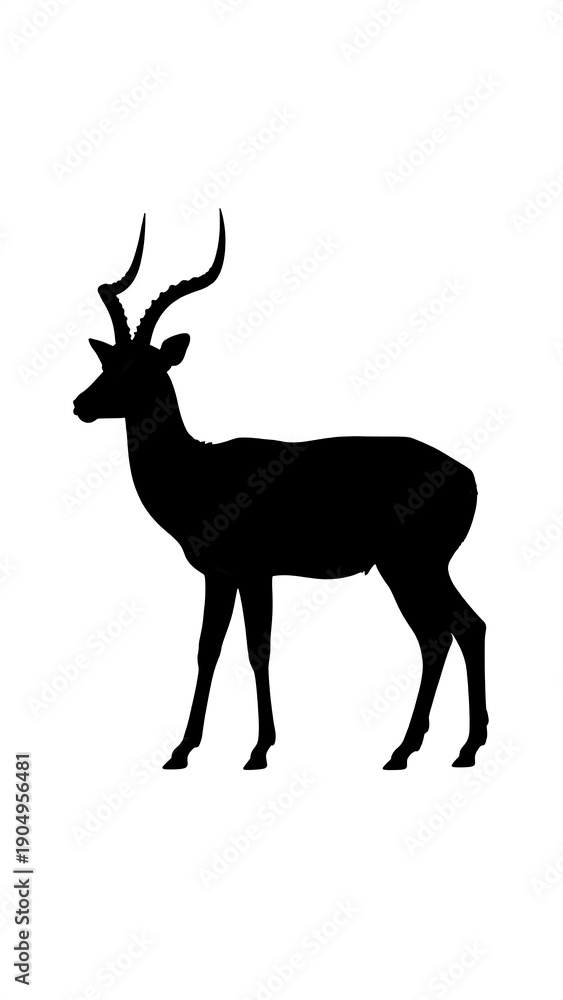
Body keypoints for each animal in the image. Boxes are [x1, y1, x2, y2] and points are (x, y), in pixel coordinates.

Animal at [73, 212, 488, 772]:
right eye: (107, 362)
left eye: (143, 368)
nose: (80, 404)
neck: (199, 470)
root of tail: (467, 475)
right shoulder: (222, 575)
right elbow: (207, 650)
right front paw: (182, 750)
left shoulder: (253, 571)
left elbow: (256, 650)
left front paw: (258, 750)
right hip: (417, 567)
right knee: (460, 629)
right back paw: (449, 749)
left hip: (411, 565)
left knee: (446, 632)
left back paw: (416, 750)